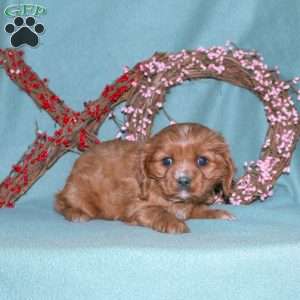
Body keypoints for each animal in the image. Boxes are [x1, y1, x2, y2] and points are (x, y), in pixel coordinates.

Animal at [55, 123, 236, 233]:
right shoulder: (136, 208)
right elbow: (156, 210)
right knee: (61, 202)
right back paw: (77, 213)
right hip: (77, 190)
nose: (183, 180)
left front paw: (217, 212)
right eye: (167, 161)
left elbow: (196, 209)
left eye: (202, 161)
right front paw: (174, 223)